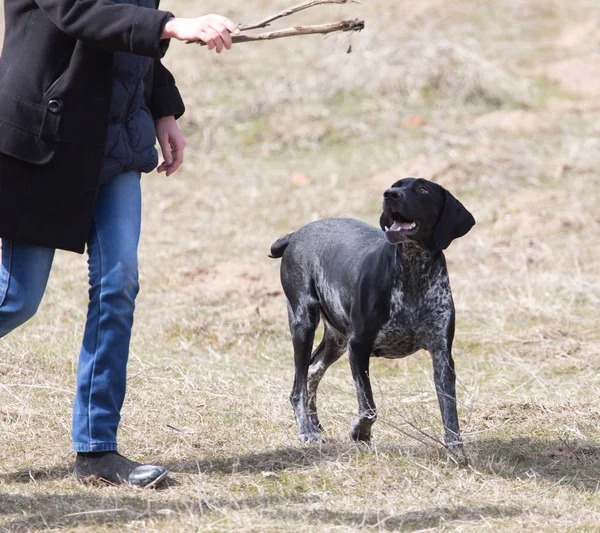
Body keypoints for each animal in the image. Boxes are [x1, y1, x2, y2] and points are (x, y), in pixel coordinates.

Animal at [270, 177, 474, 460]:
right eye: (396, 184)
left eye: (422, 189)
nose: (390, 194)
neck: (414, 272)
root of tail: (296, 234)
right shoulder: (358, 347)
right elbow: (368, 405)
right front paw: (360, 432)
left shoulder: (442, 356)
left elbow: (449, 409)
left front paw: (456, 450)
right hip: (304, 322)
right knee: (298, 388)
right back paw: (307, 431)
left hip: (336, 340)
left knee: (312, 372)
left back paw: (315, 424)